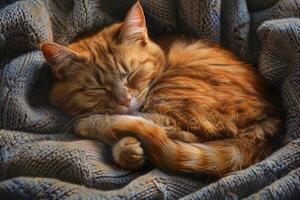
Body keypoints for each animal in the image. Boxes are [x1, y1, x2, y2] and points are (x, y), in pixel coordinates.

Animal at [40, 1, 282, 177]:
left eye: (132, 73)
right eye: (98, 88)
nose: (124, 100)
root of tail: (271, 121)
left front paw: (122, 145)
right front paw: (128, 150)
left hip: (174, 90)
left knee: (178, 131)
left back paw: (94, 125)